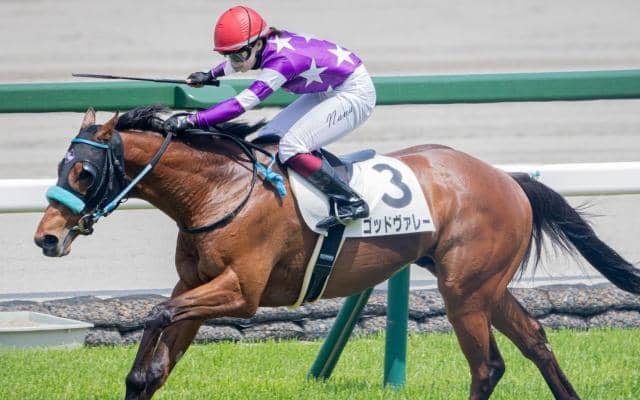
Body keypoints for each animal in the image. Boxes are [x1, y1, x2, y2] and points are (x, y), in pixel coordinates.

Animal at [34, 106, 640, 400]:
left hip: (464, 290)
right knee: (535, 340)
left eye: (83, 171)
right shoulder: (196, 285)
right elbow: (154, 359)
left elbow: (157, 314)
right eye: (60, 166)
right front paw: (142, 375)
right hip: (485, 285)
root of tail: (508, 179)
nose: (46, 237)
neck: (221, 190)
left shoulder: (241, 293)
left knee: (488, 366)